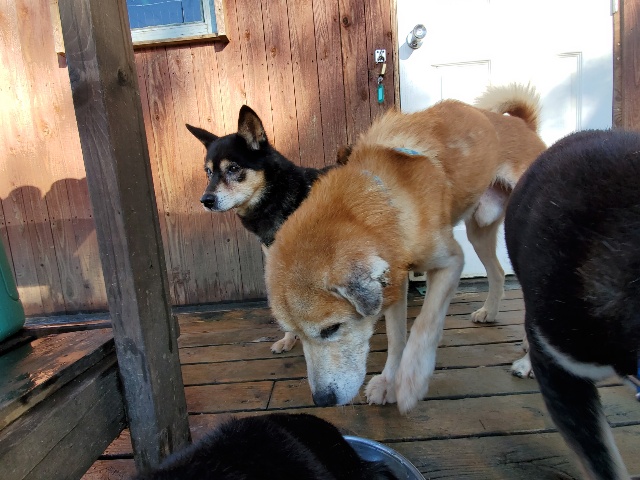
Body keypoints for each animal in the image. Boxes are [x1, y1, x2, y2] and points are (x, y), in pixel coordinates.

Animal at [265, 83, 547, 414]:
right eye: (296, 335)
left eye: (331, 329)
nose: (322, 401)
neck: (385, 198)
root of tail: (524, 125)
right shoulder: (394, 278)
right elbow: (396, 337)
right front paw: (388, 382)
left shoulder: (451, 262)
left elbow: (424, 325)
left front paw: (411, 381)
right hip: (479, 232)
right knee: (498, 272)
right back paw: (489, 312)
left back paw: (528, 362)